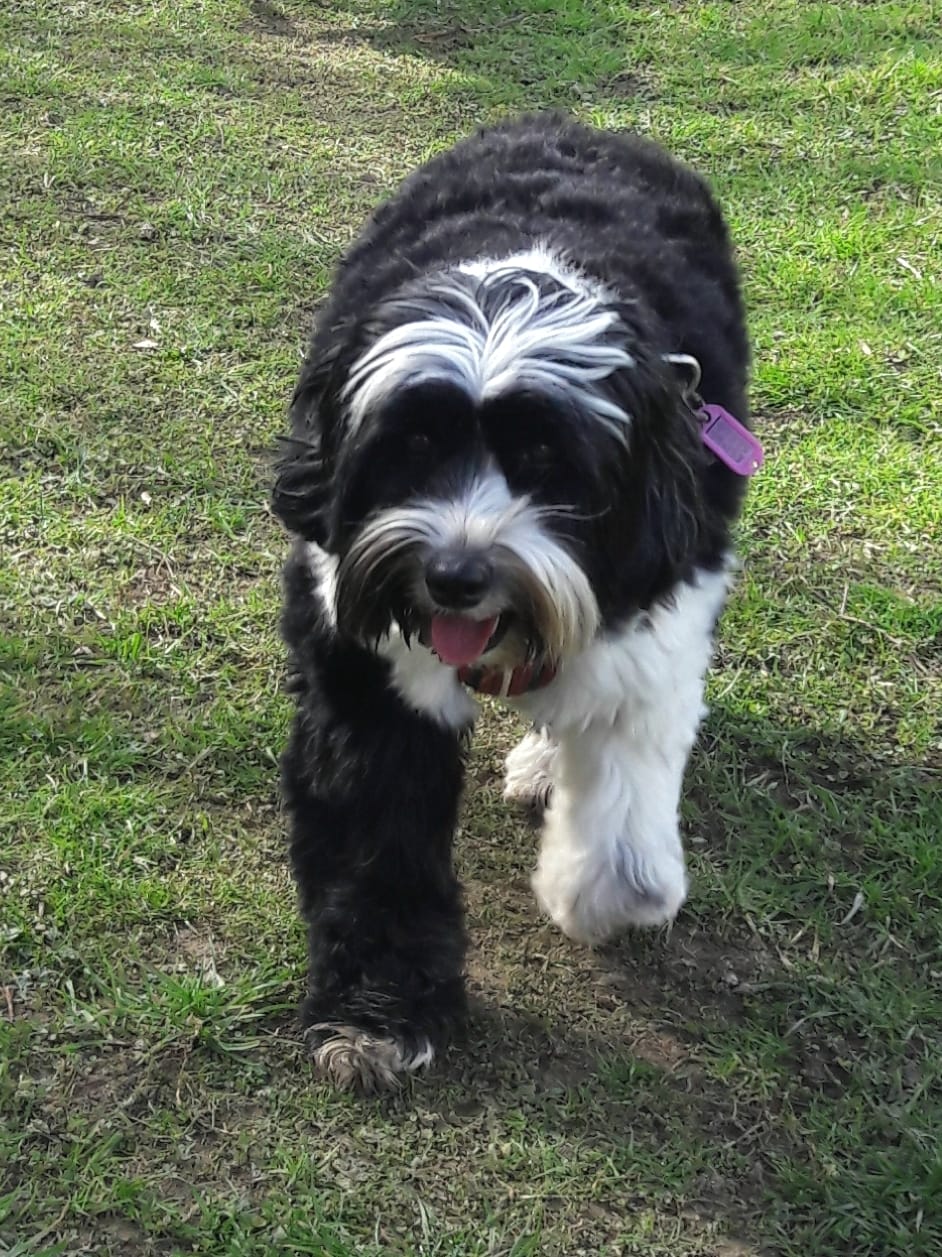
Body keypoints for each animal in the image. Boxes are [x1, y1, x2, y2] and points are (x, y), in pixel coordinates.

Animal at [271, 115, 754, 1091]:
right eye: (413, 445)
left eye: (545, 462)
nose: (455, 576)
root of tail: (578, 128)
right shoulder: (365, 659)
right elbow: (376, 830)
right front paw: (379, 1009)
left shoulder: (654, 620)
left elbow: (623, 835)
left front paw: (590, 895)